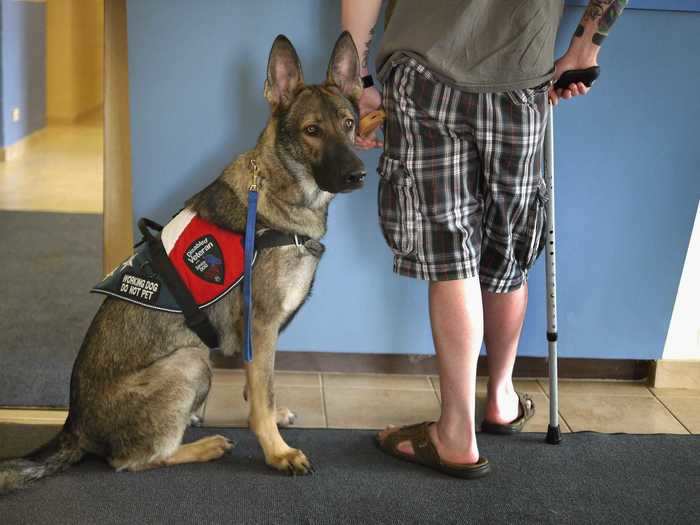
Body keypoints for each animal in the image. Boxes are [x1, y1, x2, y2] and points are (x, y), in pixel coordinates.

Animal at [1, 32, 366, 492]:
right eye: (312, 131)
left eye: (349, 124)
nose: (358, 175)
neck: (279, 191)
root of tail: (73, 426)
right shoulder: (262, 325)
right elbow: (261, 395)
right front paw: (277, 452)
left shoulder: (261, 337)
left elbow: (260, 389)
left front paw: (270, 421)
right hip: (191, 360)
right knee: (133, 460)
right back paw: (203, 446)